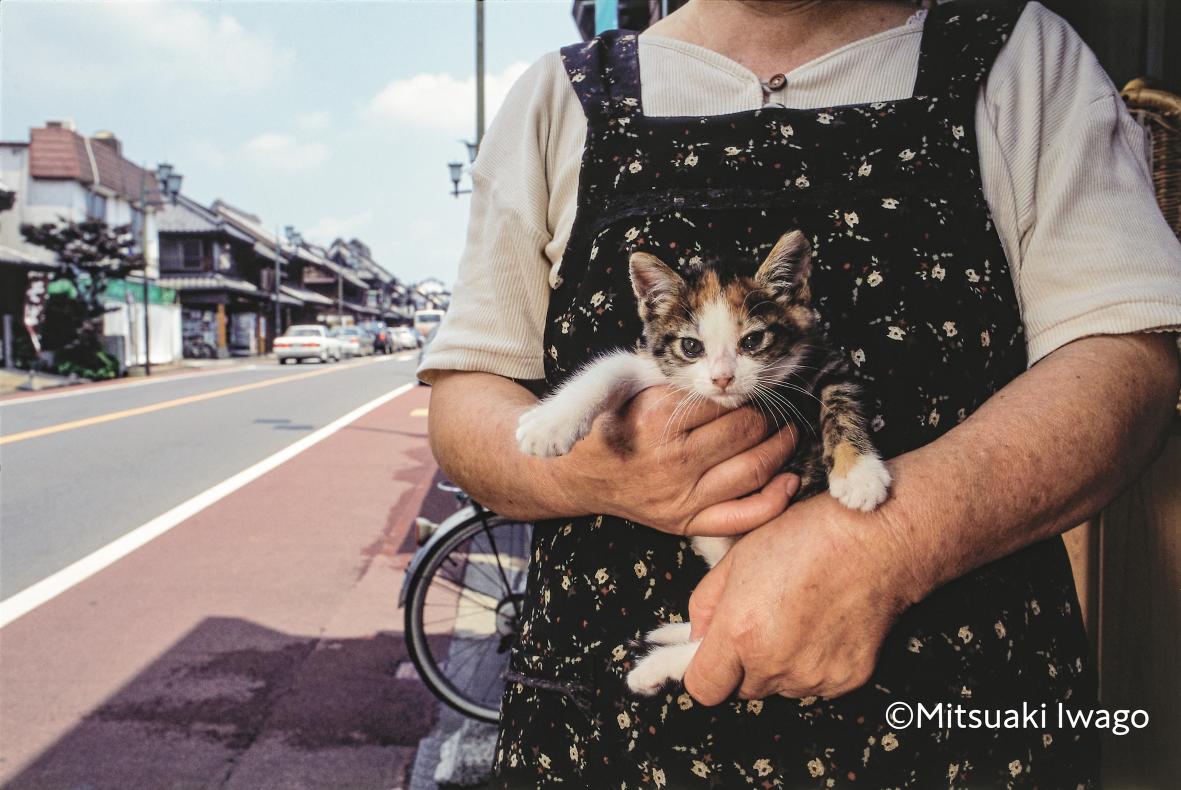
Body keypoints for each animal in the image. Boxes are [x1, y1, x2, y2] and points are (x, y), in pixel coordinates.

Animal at [512, 231, 888, 694]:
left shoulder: (826, 360)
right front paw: (550, 422)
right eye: (691, 346)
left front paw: (861, 476)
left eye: (753, 341)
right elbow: (611, 366)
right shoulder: (664, 374)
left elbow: (843, 398)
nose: (722, 378)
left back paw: (656, 666)